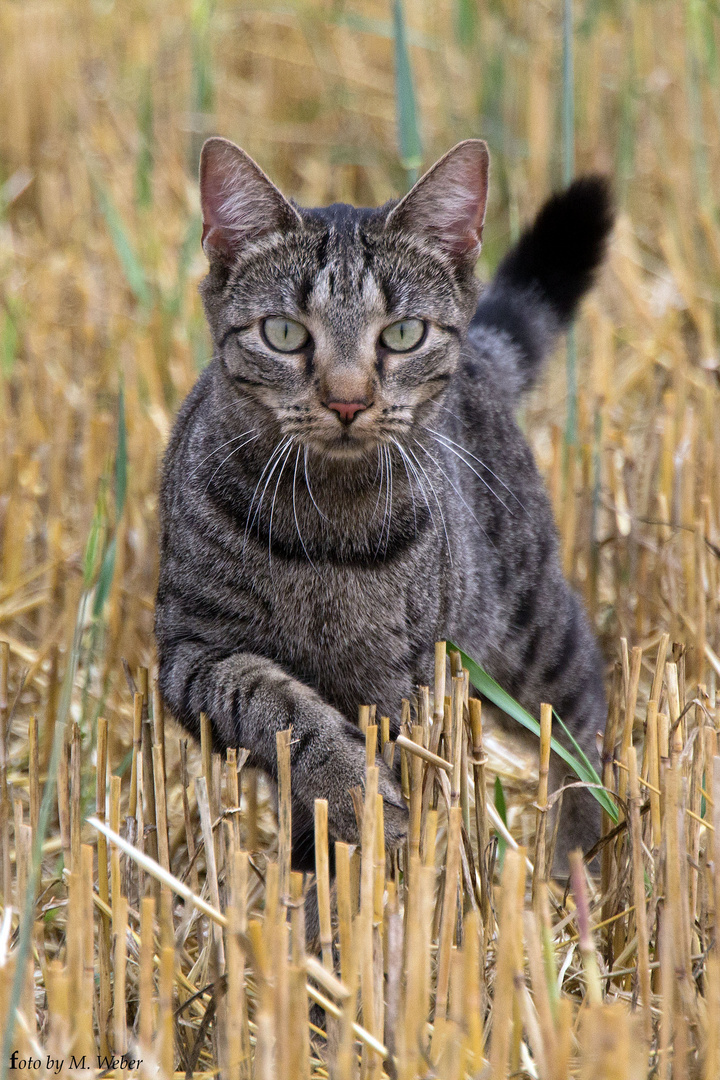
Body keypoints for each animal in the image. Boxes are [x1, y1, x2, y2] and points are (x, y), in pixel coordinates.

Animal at [156, 135, 613, 881]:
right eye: (283, 333)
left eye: (402, 335)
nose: (347, 400)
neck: (326, 527)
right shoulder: (192, 654)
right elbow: (277, 707)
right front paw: (350, 794)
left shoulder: (407, 677)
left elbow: (409, 758)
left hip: (526, 623)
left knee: (582, 706)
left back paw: (579, 861)